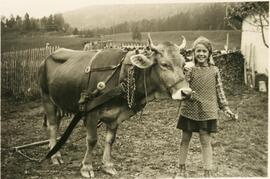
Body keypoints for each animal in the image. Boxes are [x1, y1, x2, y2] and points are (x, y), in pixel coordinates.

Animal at [39, 33, 193, 178]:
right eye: (164, 64)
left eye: (183, 64)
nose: (187, 93)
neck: (122, 76)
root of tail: (47, 58)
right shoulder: (91, 112)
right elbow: (92, 140)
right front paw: (87, 167)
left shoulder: (115, 116)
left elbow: (110, 140)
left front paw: (108, 165)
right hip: (46, 98)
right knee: (53, 125)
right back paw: (55, 155)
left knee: (56, 123)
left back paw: (53, 146)